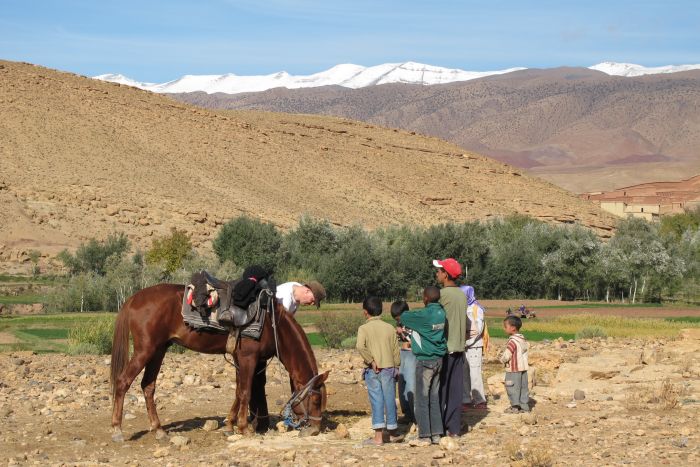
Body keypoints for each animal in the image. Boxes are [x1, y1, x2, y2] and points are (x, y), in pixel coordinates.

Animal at [108, 284, 328, 444]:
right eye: (316, 400)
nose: (315, 430)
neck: (273, 323)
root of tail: (134, 298)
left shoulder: (241, 359)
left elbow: (239, 392)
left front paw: (230, 425)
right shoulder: (248, 357)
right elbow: (246, 392)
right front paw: (244, 428)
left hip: (158, 350)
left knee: (148, 386)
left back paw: (159, 430)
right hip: (145, 350)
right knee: (122, 382)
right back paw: (117, 429)